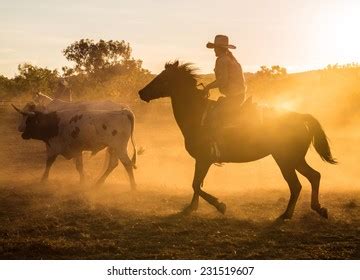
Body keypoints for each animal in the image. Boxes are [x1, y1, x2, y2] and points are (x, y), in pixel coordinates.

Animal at [139, 61, 338, 221]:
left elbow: (196, 184)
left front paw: (219, 205)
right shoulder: (200, 160)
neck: (197, 114)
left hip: (286, 160)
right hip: (295, 159)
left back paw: (286, 215)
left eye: (162, 78)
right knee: (314, 176)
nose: (141, 92)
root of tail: (301, 117)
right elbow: (196, 184)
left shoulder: (205, 159)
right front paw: (191, 208)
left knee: (296, 185)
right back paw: (319, 209)